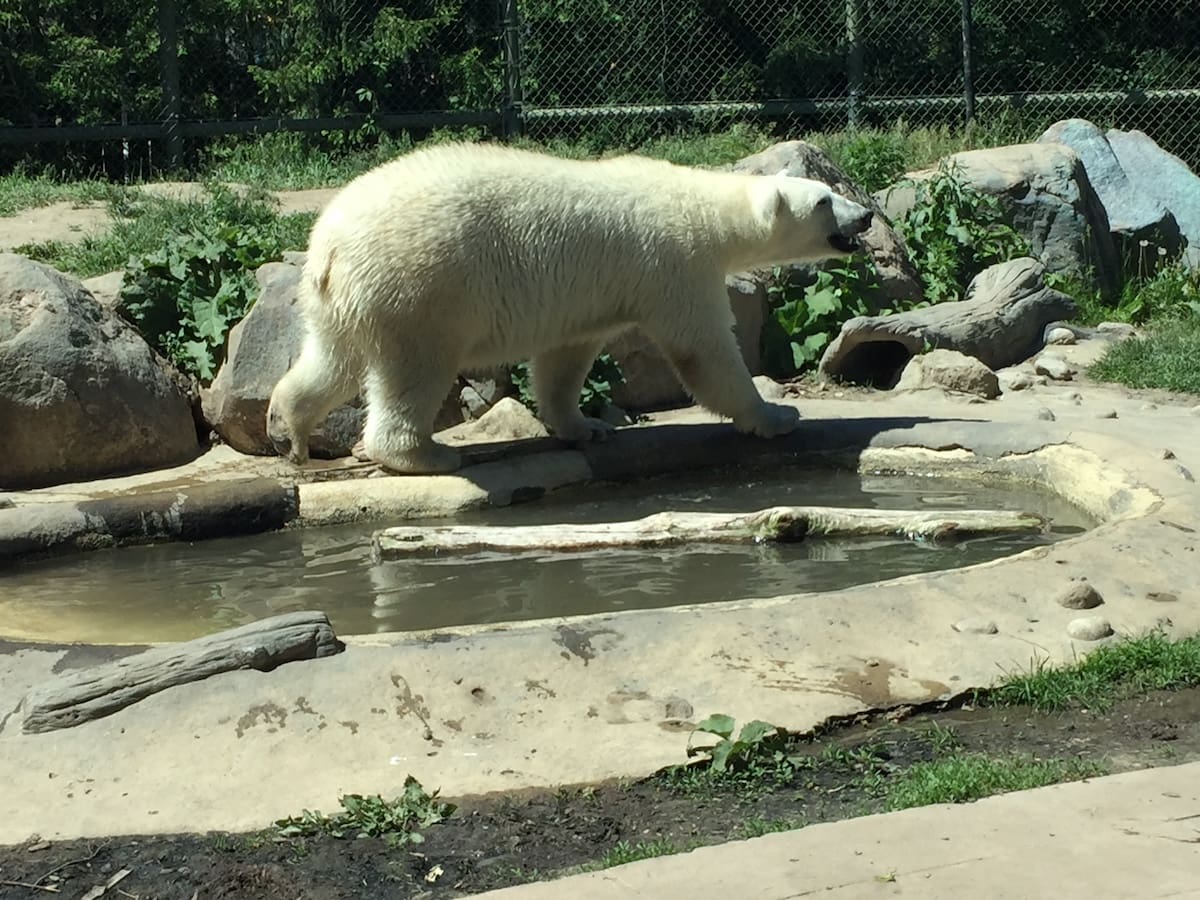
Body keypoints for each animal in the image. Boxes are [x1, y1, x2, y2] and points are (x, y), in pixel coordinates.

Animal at [265, 141, 873, 475]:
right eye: (825, 200)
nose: (866, 216)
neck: (702, 205)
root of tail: (329, 244)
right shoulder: (673, 263)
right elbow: (703, 349)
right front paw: (777, 417)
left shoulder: (587, 297)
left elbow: (565, 358)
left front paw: (586, 428)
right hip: (418, 288)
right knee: (413, 369)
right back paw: (425, 456)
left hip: (341, 298)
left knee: (332, 359)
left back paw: (287, 428)